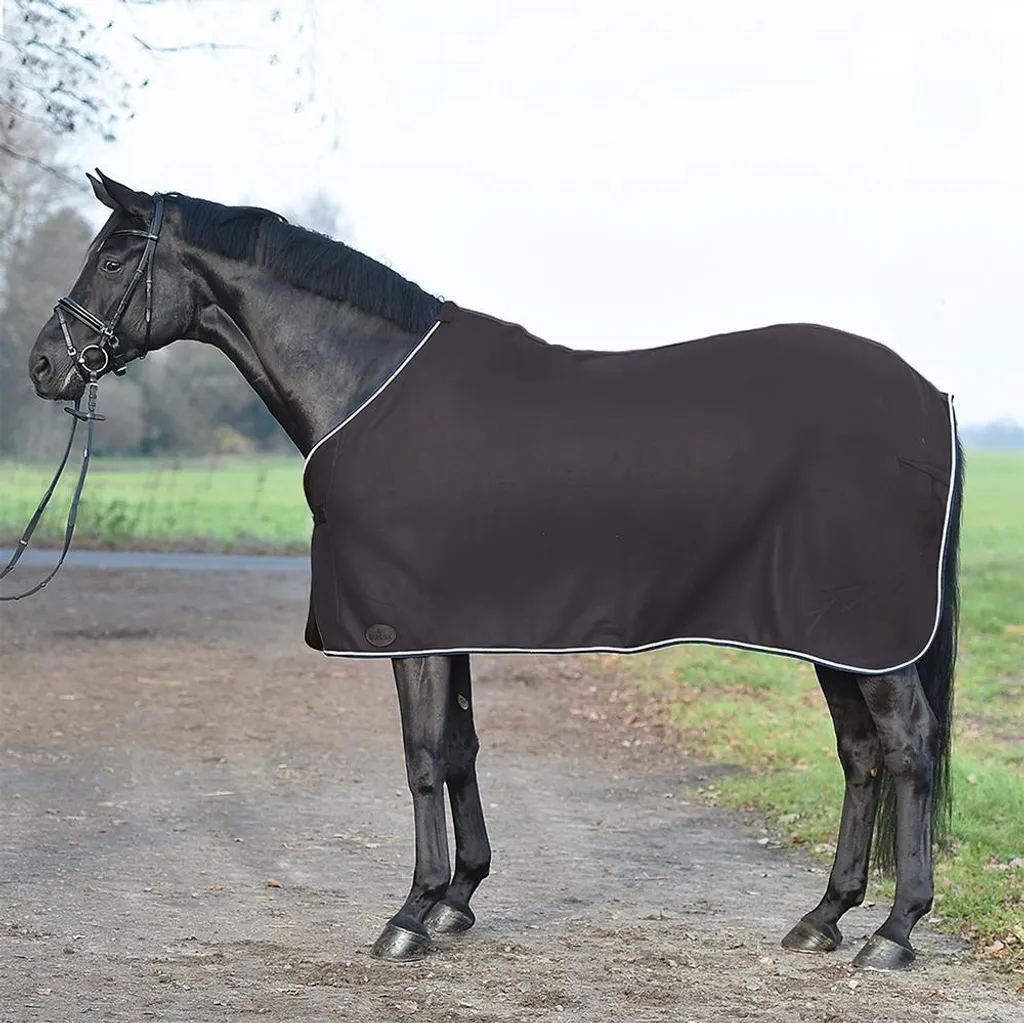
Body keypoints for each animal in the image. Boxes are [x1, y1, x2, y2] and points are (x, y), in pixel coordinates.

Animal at [27, 171, 963, 971]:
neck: (371, 383)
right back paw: (823, 917)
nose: (43, 363)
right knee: (861, 754)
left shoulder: (404, 625)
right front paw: (459, 897)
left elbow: (420, 756)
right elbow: (461, 747)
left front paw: (409, 913)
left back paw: (894, 931)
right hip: (838, 635)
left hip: (867, 630)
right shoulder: (450, 620)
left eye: (114, 256)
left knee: (909, 746)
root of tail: (932, 397)